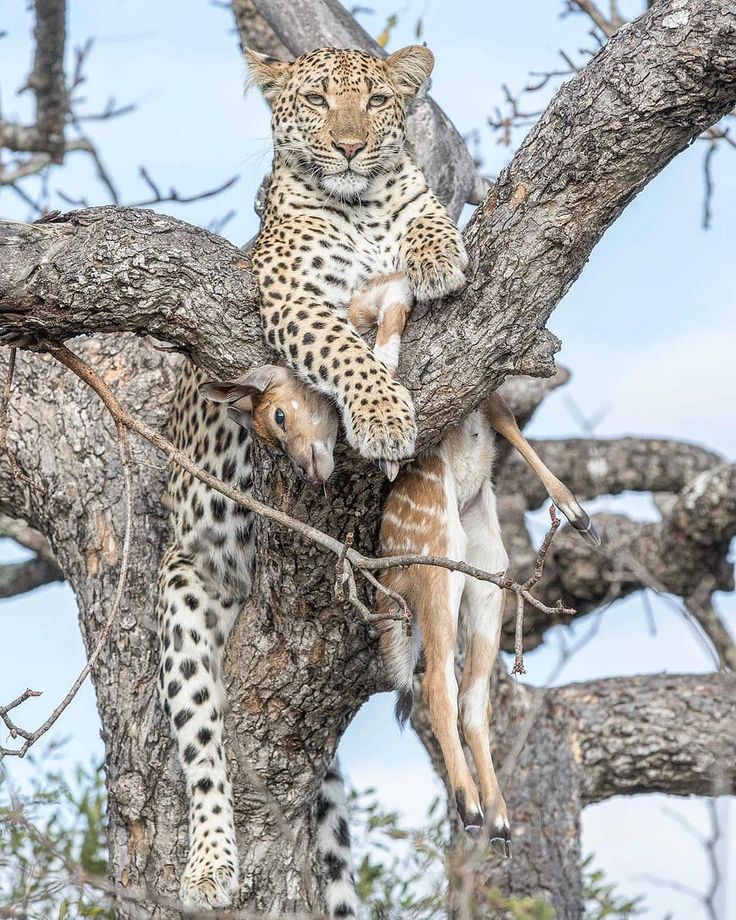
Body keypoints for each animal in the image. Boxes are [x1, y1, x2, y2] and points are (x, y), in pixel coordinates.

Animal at [157, 43, 468, 914]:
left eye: (376, 100)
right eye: (320, 101)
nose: (352, 146)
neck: (359, 210)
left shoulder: (399, 224)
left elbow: (425, 214)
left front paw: (439, 251)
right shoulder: (294, 295)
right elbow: (345, 352)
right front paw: (383, 415)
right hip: (187, 590)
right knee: (204, 755)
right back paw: (210, 866)